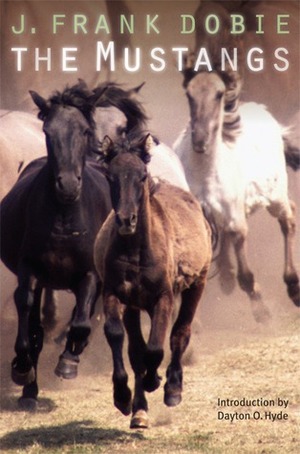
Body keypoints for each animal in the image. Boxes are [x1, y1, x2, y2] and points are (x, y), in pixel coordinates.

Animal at [0, 83, 110, 410]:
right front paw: (22, 369)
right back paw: (29, 391)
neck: (65, 215)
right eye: (48, 131)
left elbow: (82, 320)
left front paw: (68, 362)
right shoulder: (31, 269)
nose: (68, 185)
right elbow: (27, 314)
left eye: (85, 130)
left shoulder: (89, 274)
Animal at [94, 132, 213, 430]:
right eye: (110, 176)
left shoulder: (164, 298)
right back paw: (139, 411)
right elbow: (119, 338)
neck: (136, 252)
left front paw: (156, 380)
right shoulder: (115, 295)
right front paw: (123, 397)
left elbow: (156, 348)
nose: (126, 220)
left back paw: (172, 388)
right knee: (137, 350)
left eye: (142, 176)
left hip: (197, 285)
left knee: (180, 333)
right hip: (135, 306)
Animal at [173, 68, 300, 322]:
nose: (200, 139)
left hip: (275, 196)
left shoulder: (236, 220)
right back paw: (227, 277)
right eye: (189, 94)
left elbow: (246, 274)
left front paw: (262, 312)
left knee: (288, 219)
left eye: (219, 94)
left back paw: (293, 288)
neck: (203, 172)